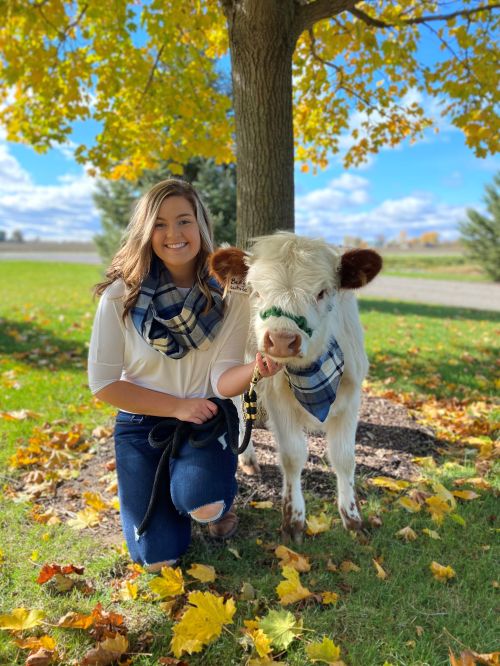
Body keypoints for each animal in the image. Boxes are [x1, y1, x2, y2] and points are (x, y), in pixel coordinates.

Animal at [209, 232, 382, 543]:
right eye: (255, 291)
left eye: (323, 292)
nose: (281, 340)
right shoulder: (278, 400)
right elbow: (292, 456)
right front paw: (294, 520)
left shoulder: (351, 398)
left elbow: (344, 458)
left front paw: (352, 518)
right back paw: (247, 458)